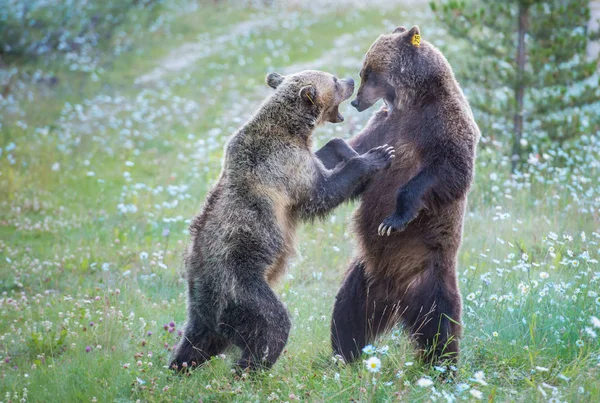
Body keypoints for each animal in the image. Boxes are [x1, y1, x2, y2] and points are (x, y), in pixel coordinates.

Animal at [316, 26, 480, 366]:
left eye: (368, 73)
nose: (356, 102)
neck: (413, 101)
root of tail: (395, 294)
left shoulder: (443, 125)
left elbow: (448, 171)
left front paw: (393, 219)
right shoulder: (385, 125)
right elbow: (360, 154)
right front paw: (330, 153)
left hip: (430, 276)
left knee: (440, 323)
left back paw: (442, 366)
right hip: (363, 278)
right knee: (347, 315)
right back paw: (343, 356)